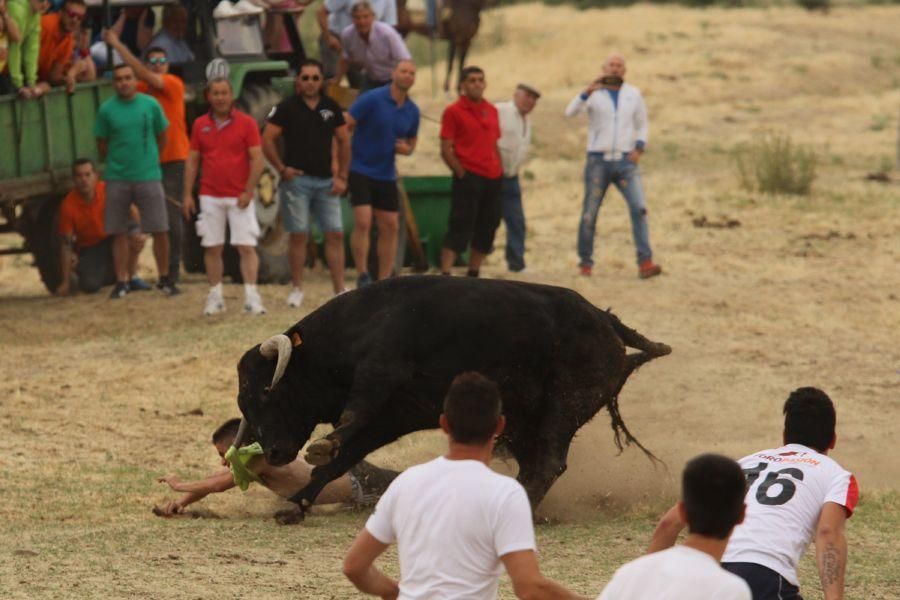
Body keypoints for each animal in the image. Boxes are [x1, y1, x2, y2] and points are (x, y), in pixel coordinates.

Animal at [236, 276, 672, 516]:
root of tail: (605, 320)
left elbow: (352, 416)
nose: (273, 453)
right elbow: (344, 457)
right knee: (535, 465)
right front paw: (297, 505)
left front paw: (320, 448)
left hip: (564, 406)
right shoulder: (393, 415)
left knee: (548, 463)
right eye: (246, 403)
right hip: (522, 423)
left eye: (266, 391)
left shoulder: (380, 374)